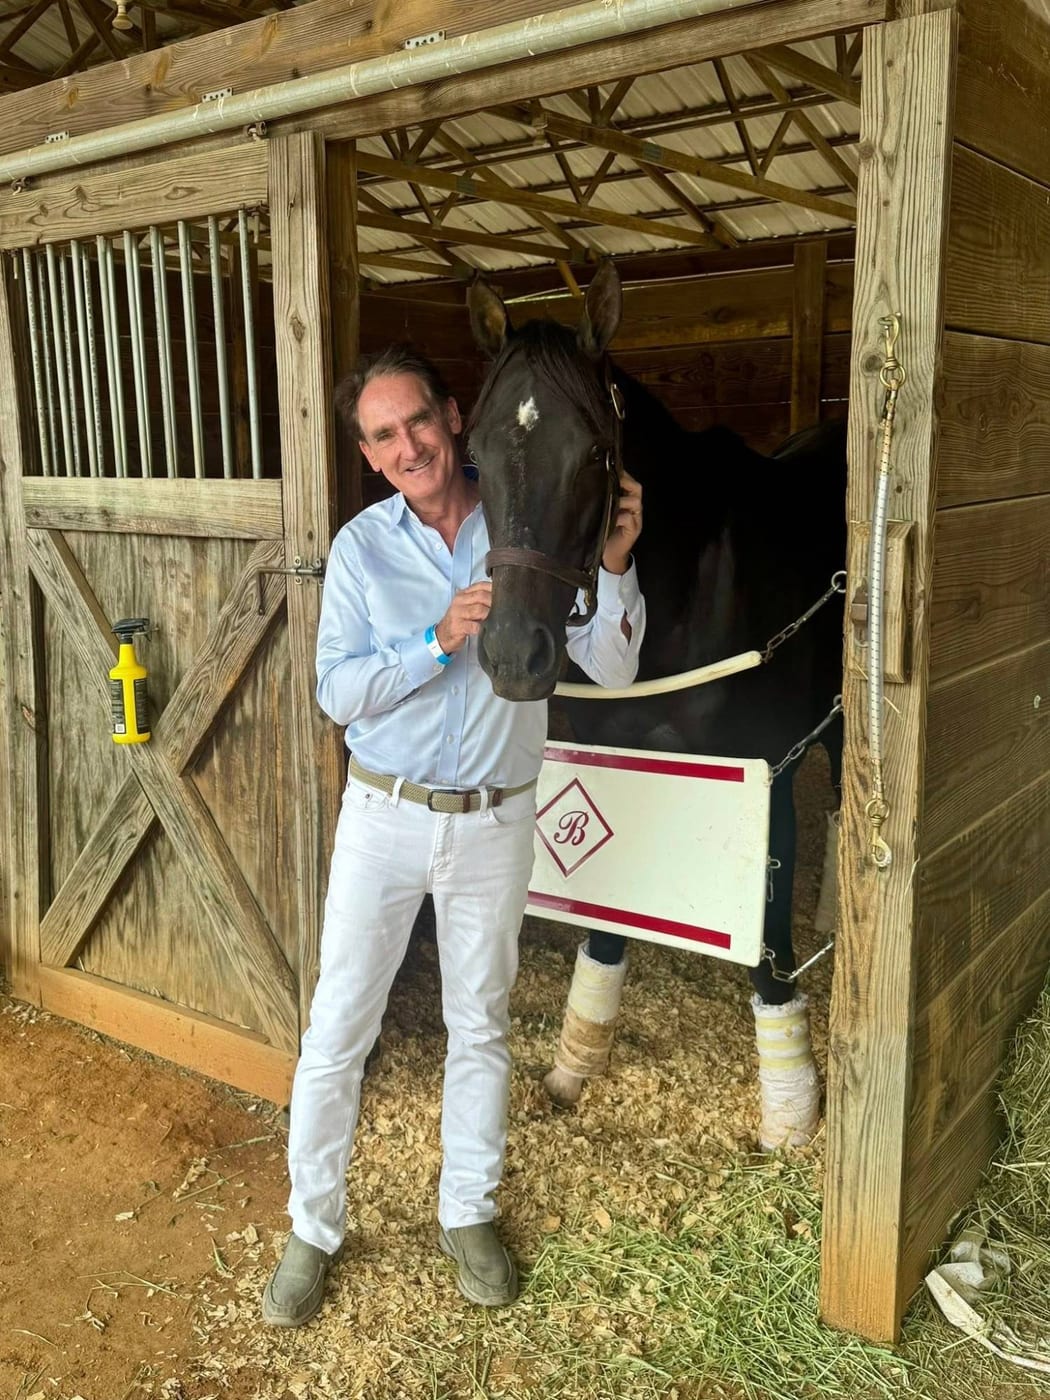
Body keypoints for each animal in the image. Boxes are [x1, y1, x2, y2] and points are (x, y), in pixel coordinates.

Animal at [466, 261, 847, 1150]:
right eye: (474, 454)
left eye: (597, 454)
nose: (513, 655)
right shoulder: (624, 761)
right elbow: (610, 916)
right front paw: (579, 1059)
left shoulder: (766, 779)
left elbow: (767, 948)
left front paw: (791, 1111)